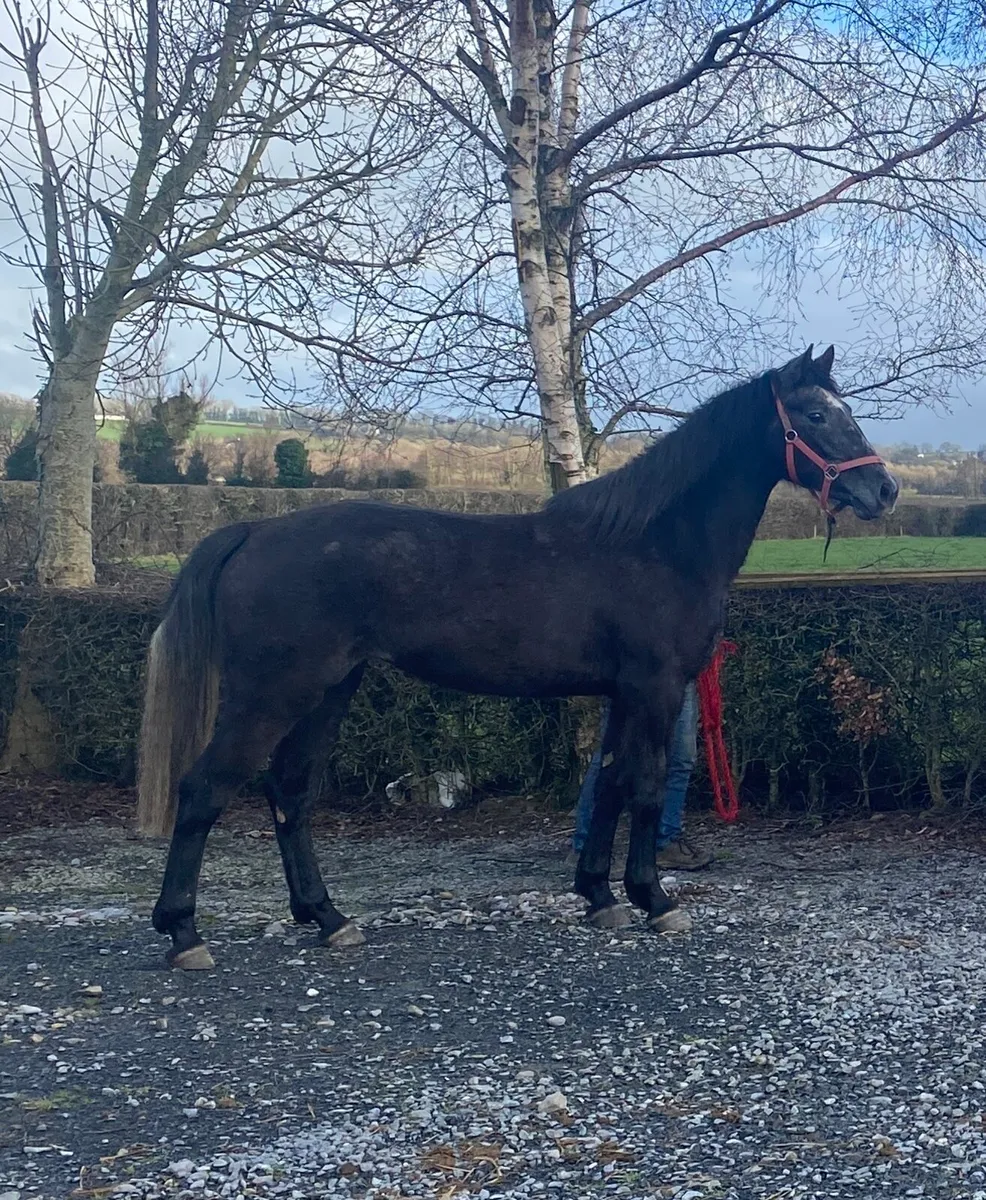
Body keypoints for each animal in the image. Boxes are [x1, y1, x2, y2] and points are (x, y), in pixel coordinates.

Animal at [136, 345, 898, 969]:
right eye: (814, 414)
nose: (884, 490)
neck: (655, 544)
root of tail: (252, 531)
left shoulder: (624, 692)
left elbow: (611, 783)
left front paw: (600, 896)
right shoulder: (654, 687)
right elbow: (646, 786)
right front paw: (654, 899)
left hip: (329, 690)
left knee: (290, 791)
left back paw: (326, 917)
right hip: (273, 694)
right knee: (204, 789)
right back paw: (184, 933)